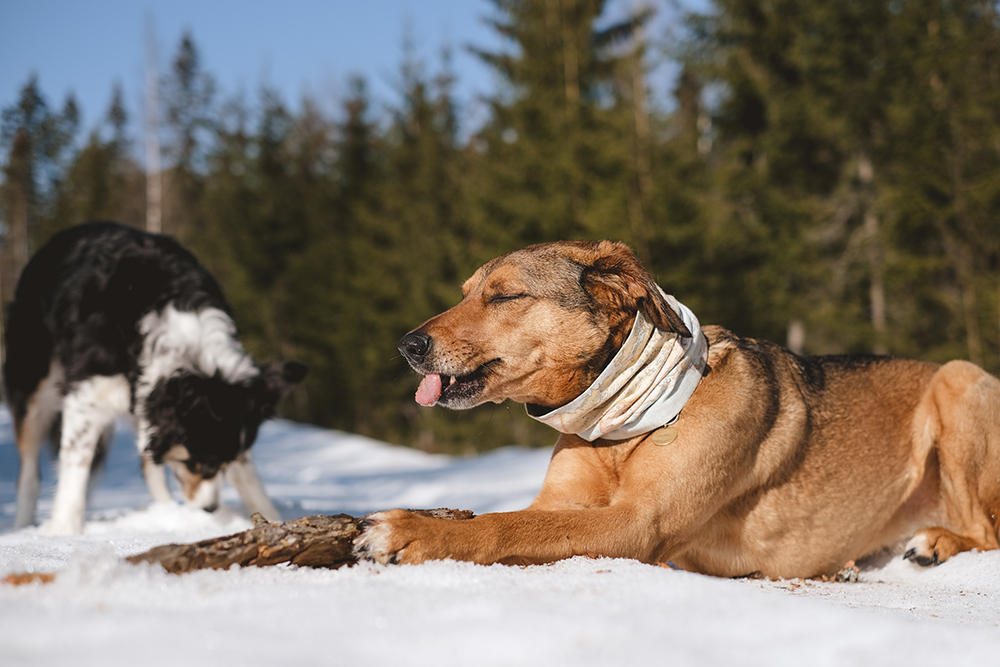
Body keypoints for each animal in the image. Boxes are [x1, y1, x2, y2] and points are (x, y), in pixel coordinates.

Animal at [3, 222, 306, 536]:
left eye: (224, 462)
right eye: (200, 463)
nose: (210, 509)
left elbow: (249, 479)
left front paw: (276, 520)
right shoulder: (86, 397)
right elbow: (76, 465)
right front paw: (65, 531)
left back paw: (166, 514)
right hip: (32, 386)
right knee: (29, 471)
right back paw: (23, 526)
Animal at [354, 240, 1000, 580]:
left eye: (505, 296)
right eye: (466, 293)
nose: (407, 345)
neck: (615, 428)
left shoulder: (640, 522)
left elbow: (502, 524)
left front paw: (408, 530)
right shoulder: (565, 502)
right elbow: (516, 518)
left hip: (957, 378)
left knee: (987, 531)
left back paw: (936, 542)